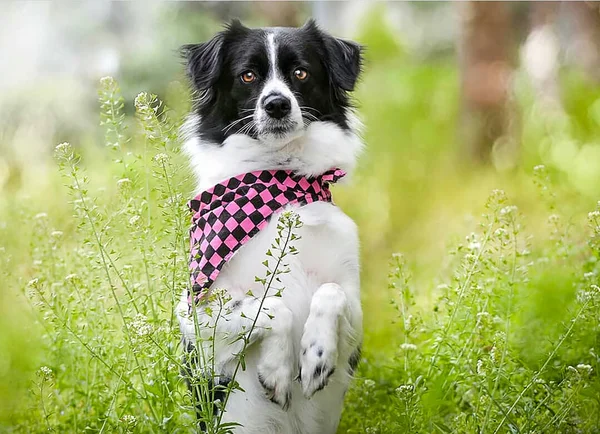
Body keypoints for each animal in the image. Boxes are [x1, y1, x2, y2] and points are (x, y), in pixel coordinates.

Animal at [177, 20, 366, 434]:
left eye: (301, 73)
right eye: (247, 75)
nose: (276, 104)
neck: (280, 178)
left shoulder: (356, 320)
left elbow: (331, 292)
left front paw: (316, 357)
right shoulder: (195, 317)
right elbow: (271, 306)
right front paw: (276, 370)